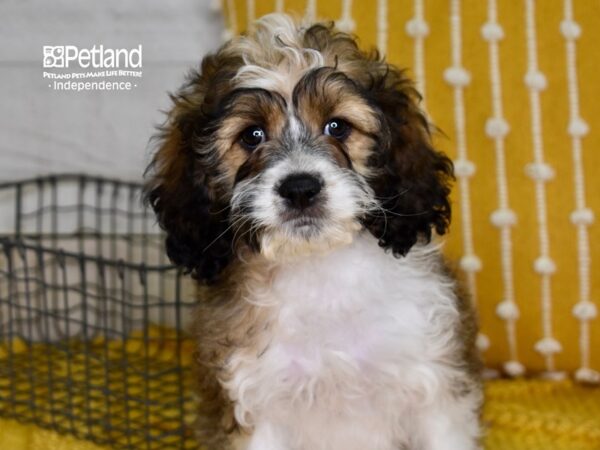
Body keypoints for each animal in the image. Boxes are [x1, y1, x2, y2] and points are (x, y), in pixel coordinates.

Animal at [145, 14, 482, 450]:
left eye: (337, 127)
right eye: (252, 135)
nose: (300, 188)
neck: (321, 275)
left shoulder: (434, 386)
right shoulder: (254, 403)